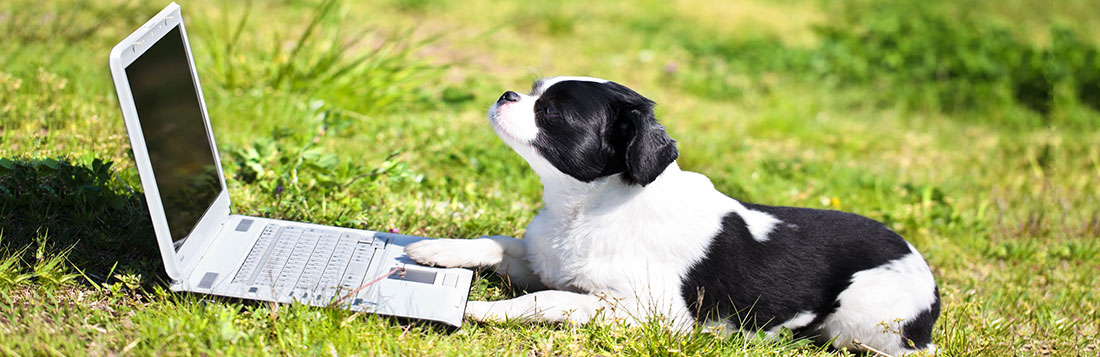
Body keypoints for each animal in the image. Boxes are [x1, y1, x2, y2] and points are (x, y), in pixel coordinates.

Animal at [409, 75, 941, 353]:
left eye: (553, 113)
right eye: (534, 88)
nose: (507, 94)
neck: (583, 210)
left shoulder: (644, 312)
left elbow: (552, 300)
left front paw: (482, 310)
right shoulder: (542, 258)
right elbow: (498, 243)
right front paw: (435, 251)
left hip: (868, 323)